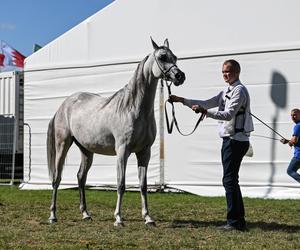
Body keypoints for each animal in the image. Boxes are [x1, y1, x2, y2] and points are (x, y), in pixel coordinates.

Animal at [47, 38, 185, 226]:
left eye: (175, 57)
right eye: (162, 57)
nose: (180, 76)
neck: (133, 108)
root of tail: (63, 105)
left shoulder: (144, 152)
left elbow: (143, 185)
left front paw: (148, 217)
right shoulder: (122, 151)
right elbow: (121, 184)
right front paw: (118, 218)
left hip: (86, 151)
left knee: (81, 178)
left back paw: (86, 214)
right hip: (63, 144)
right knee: (57, 178)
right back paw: (53, 215)